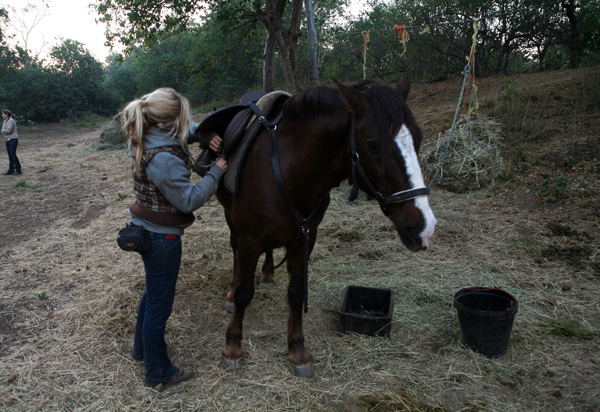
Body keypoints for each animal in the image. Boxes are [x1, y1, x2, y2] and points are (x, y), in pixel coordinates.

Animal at [197, 76, 436, 376]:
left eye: (418, 138)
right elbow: (243, 293)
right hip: (231, 216)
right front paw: (232, 346)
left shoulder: (305, 238)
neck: (288, 169)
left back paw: (267, 274)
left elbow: (296, 294)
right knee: (235, 251)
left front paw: (297, 351)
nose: (423, 227)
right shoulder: (250, 239)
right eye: (372, 145)